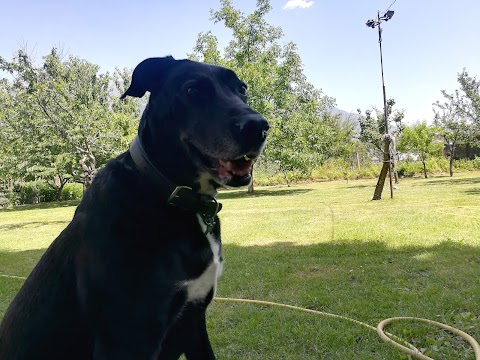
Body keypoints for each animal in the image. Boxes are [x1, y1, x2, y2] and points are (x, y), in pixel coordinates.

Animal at [0, 57, 268, 358]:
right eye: (192, 91)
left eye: (241, 88)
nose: (259, 127)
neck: (170, 194)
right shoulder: (127, 337)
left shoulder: (195, 318)